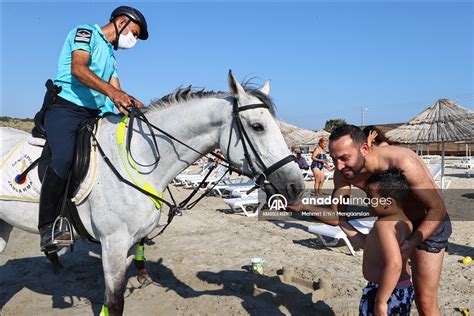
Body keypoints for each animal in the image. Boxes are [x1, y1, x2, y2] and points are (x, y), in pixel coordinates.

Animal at [0, 70, 306, 314]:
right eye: (257, 126)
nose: (296, 187)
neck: (138, 157)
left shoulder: (127, 246)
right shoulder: (113, 244)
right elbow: (115, 304)